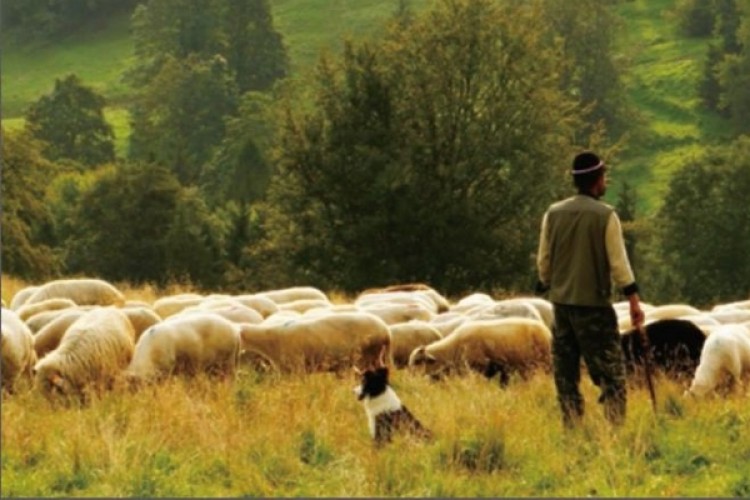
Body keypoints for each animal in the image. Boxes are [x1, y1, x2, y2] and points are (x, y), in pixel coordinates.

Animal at [408, 318, 556, 384]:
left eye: (417, 361)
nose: (411, 379)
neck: (453, 349)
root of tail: (546, 330)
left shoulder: (480, 367)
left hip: (544, 362)